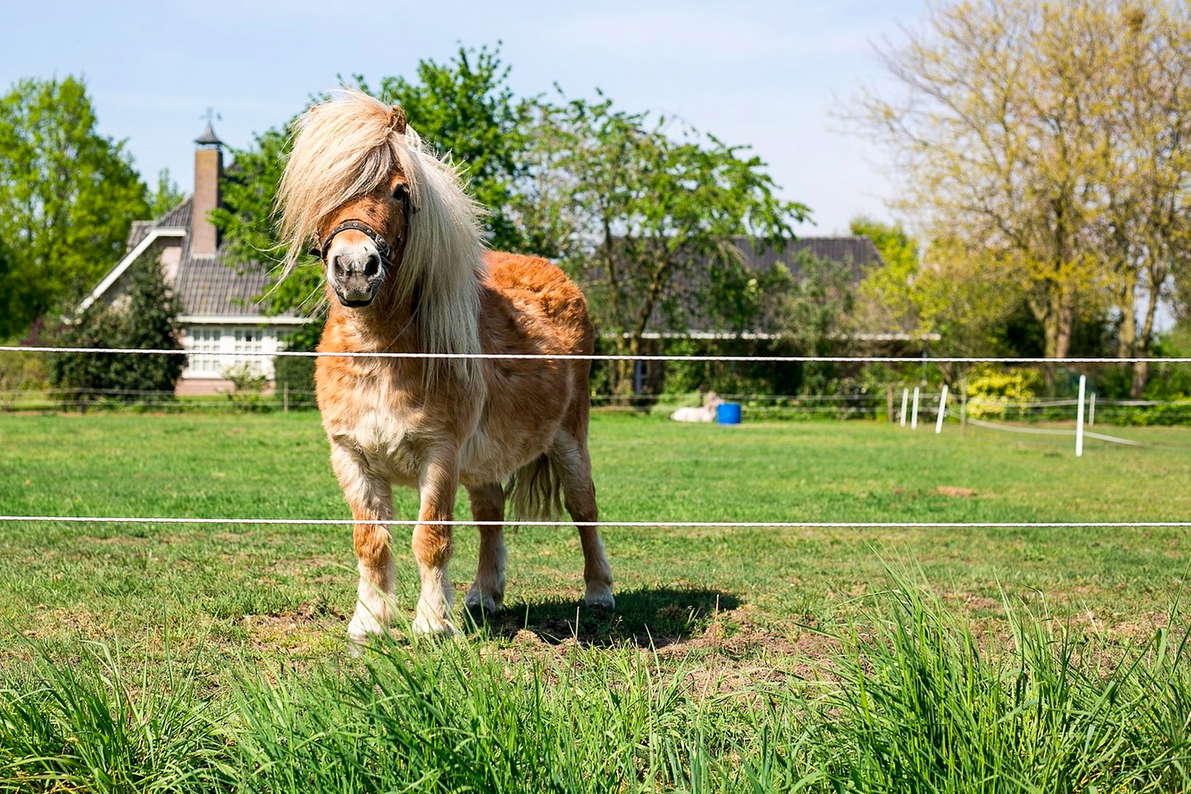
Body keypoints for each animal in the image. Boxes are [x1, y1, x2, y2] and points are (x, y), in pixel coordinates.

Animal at [276, 91, 614, 647]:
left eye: (399, 192)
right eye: (326, 192)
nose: (355, 268)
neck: (385, 356)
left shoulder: (440, 456)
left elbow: (431, 537)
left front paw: (432, 624)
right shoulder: (352, 458)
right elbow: (371, 540)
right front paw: (369, 624)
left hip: (569, 439)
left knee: (583, 508)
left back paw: (599, 593)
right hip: (484, 461)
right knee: (490, 515)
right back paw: (484, 596)